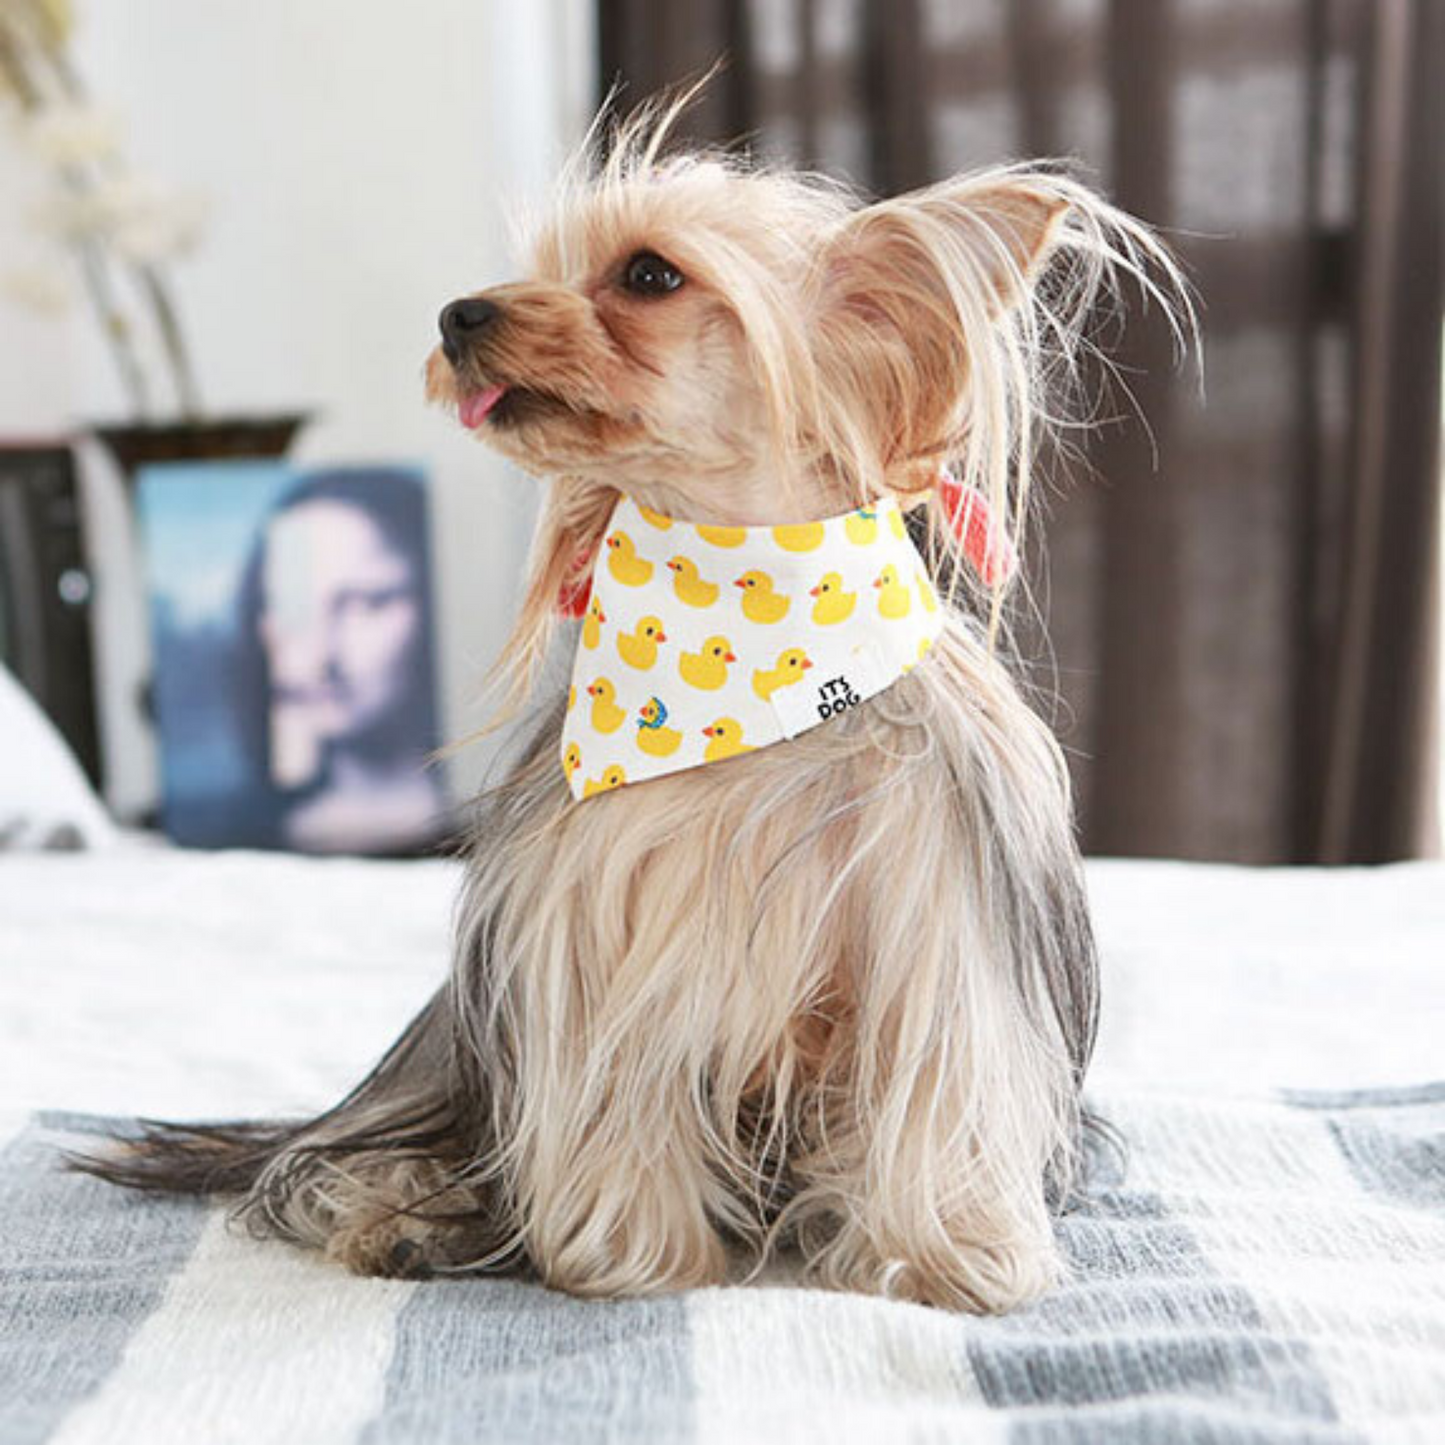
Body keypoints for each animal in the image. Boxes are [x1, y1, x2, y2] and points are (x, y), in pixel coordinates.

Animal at [73, 87, 1190, 1312]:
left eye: (650, 275)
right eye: (539, 270)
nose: (458, 313)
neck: (755, 657)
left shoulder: (933, 922)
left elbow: (935, 1080)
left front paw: (949, 1259)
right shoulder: (594, 926)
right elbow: (614, 1091)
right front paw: (638, 1261)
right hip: (440, 1074)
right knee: (346, 1157)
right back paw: (399, 1216)